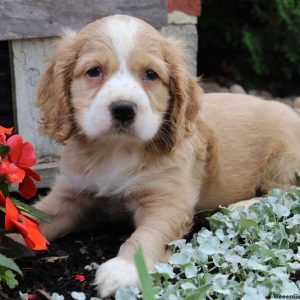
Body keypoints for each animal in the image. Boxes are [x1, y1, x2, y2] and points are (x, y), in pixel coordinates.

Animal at [34, 14, 300, 298]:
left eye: (151, 74)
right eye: (94, 71)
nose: (124, 109)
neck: (116, 150)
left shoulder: (167, 203)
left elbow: (147, 235)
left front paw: (124, 269)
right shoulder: (69, 195)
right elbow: (33, 217)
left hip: (283, 160)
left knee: (284, 192)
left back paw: (242, 206)